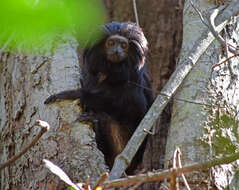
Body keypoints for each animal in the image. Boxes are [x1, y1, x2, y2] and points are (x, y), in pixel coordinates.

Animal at [44, 21, 153, 173]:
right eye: (111, 43)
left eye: (123, 45)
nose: (117, 51)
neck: (110, 70)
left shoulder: (133, 79)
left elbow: (135, 110)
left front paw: (78, 94)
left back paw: (96, 120)